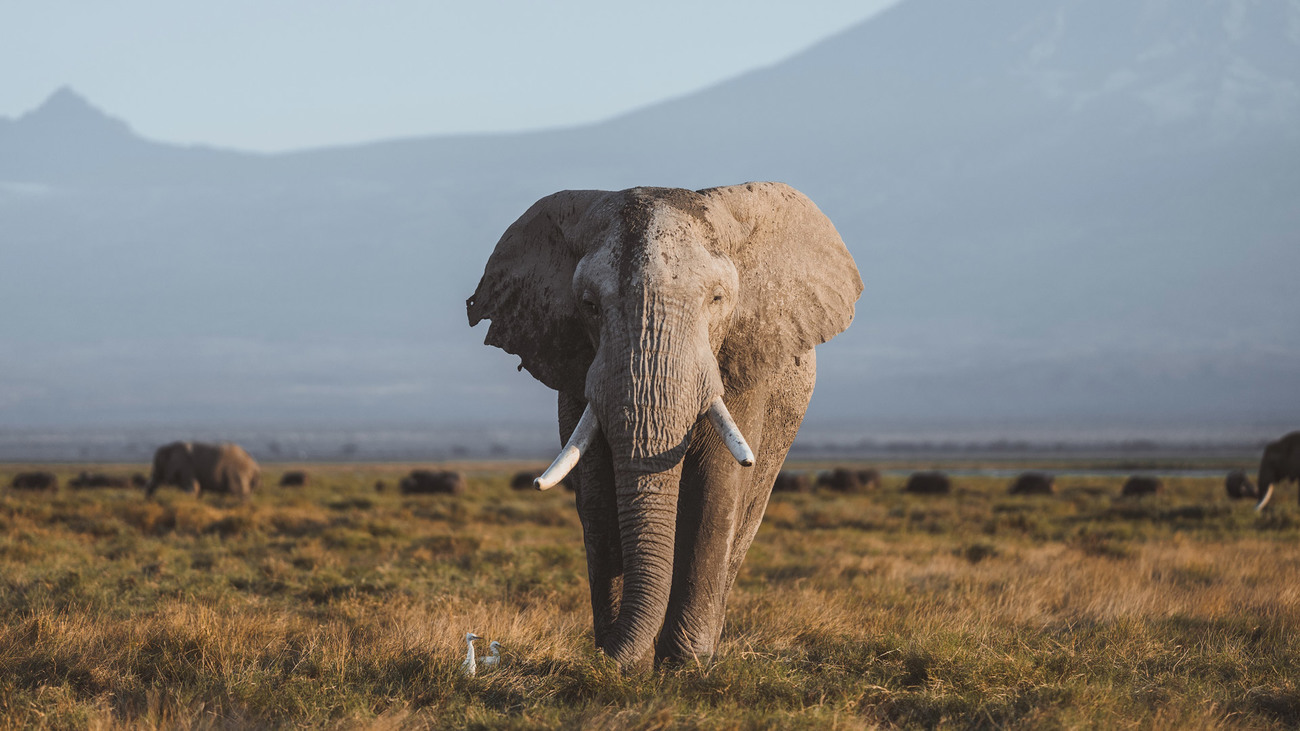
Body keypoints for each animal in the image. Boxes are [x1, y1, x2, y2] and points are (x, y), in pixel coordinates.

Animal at [467, 180, 863, 665]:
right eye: (589, 305)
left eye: (717, 299)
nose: (601, 658)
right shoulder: (577, 370)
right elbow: (597, 497)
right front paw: (625, 666)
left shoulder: (741, 363)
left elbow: (715, 490)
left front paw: (683, 667)